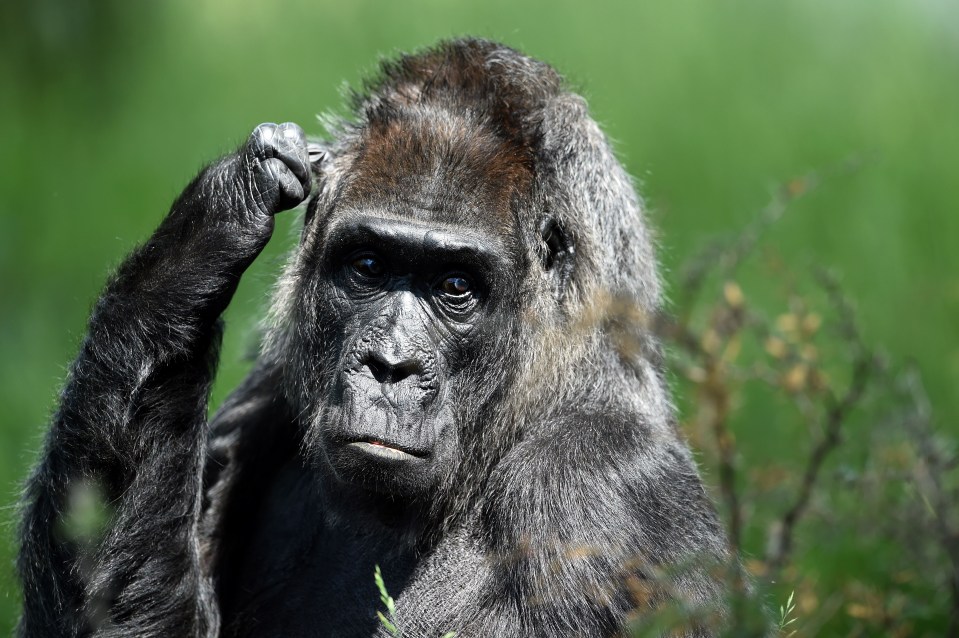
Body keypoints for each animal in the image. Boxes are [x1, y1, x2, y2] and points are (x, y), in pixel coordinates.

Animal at [18, 40, 728, 638]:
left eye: (455, 286)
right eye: (367, 267)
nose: (390, 366)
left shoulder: (595, 487)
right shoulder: (267, 395)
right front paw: (205, 234)